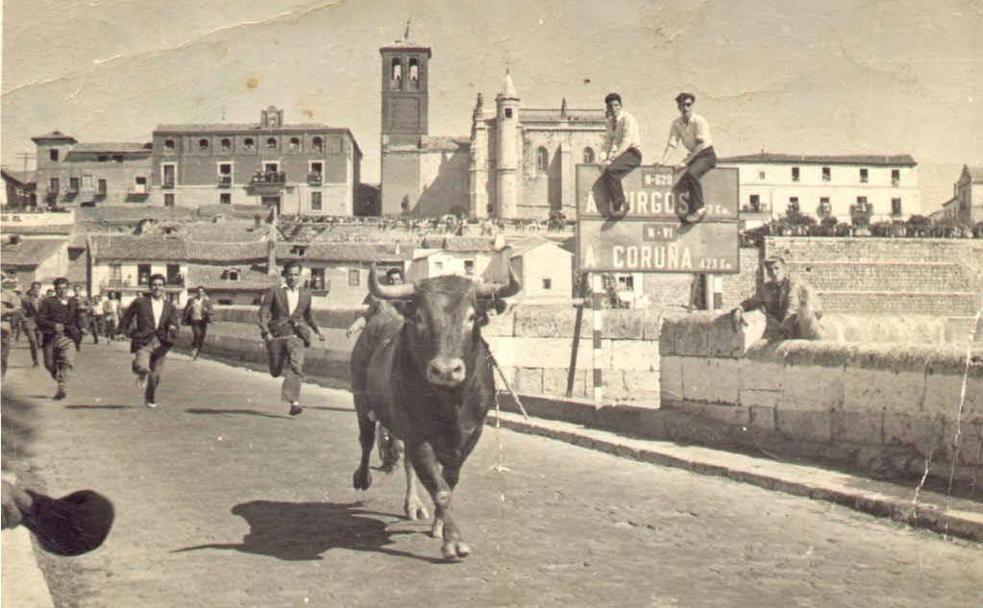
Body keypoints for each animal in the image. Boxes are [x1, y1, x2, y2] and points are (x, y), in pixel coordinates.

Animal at [354, 268, 524, 560]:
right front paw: (454, 540)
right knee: (365, 440)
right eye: (421, 317)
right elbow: (440, 489)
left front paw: (439, 524)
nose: (445, 370)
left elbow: (449, 481)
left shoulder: (471, 434)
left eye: (471, 317)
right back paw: (363, 477)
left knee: (406, 462)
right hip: (361, 400)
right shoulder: (418, 436)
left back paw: (413, 504)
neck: (451, 401)